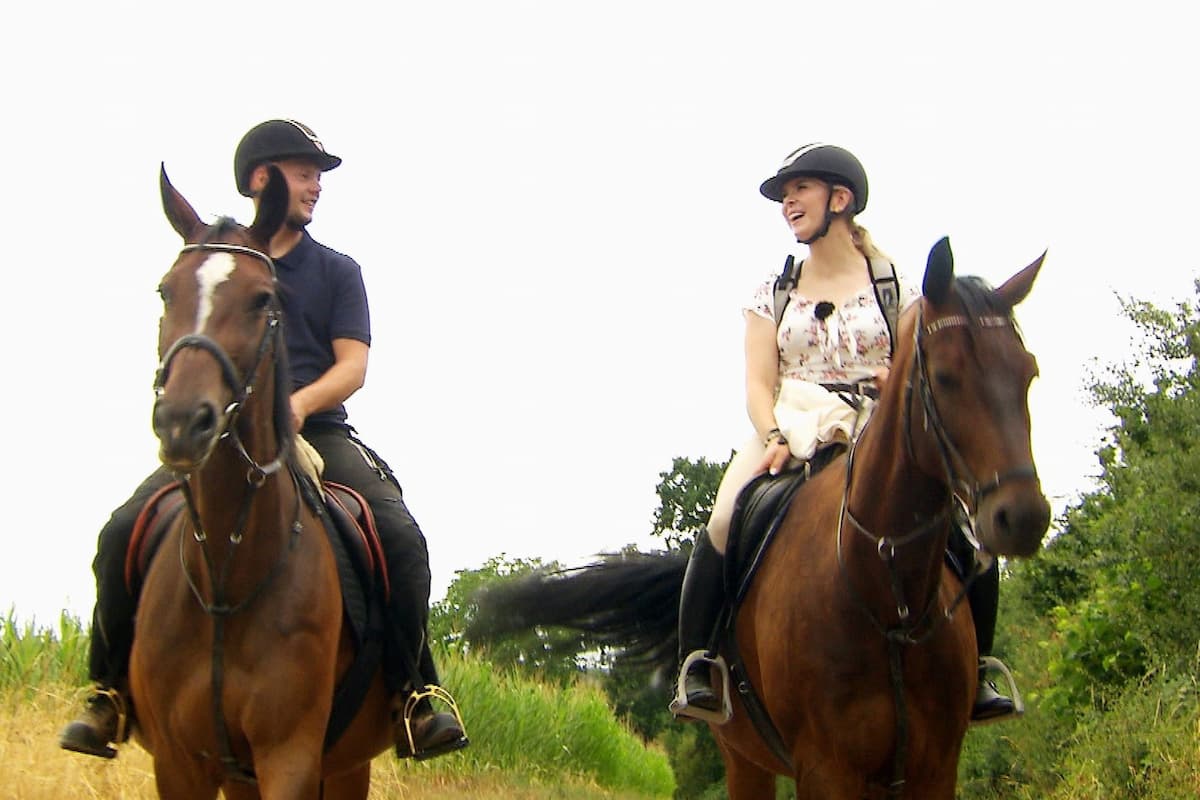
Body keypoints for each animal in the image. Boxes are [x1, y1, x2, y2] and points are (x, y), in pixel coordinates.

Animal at [131, 165, 393, 796]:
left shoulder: (289, 756)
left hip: (345, 765)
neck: (227, 577)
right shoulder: (178, 762)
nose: (183, 422)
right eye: (165, 292)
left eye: (262, 300)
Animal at [468, 239, 1051, 800]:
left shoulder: (935, 768)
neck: (887, 598)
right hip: (742, 756)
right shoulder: (826, 769)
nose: (1022, 517)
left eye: (1029, 373)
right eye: (946, 377)